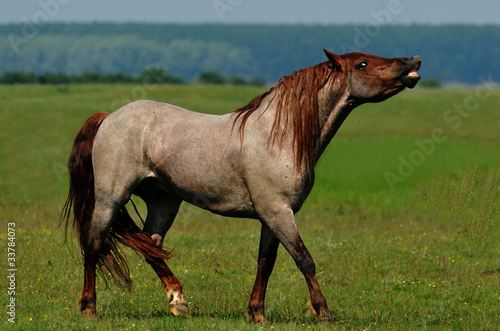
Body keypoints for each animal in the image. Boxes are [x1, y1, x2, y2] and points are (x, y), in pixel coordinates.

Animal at [62, 48, 422, 322]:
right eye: (362, 64)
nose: (412, 61)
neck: (279, 135)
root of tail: (109, 117)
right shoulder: (278, 212)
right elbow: (304, 259)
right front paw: (323, 312)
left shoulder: (272, 216)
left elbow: (266, 262)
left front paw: (256, 313)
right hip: (110, 198)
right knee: (94, 243)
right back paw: (89, 308)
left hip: (163, 201)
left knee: (151, 246)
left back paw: (178, 301)